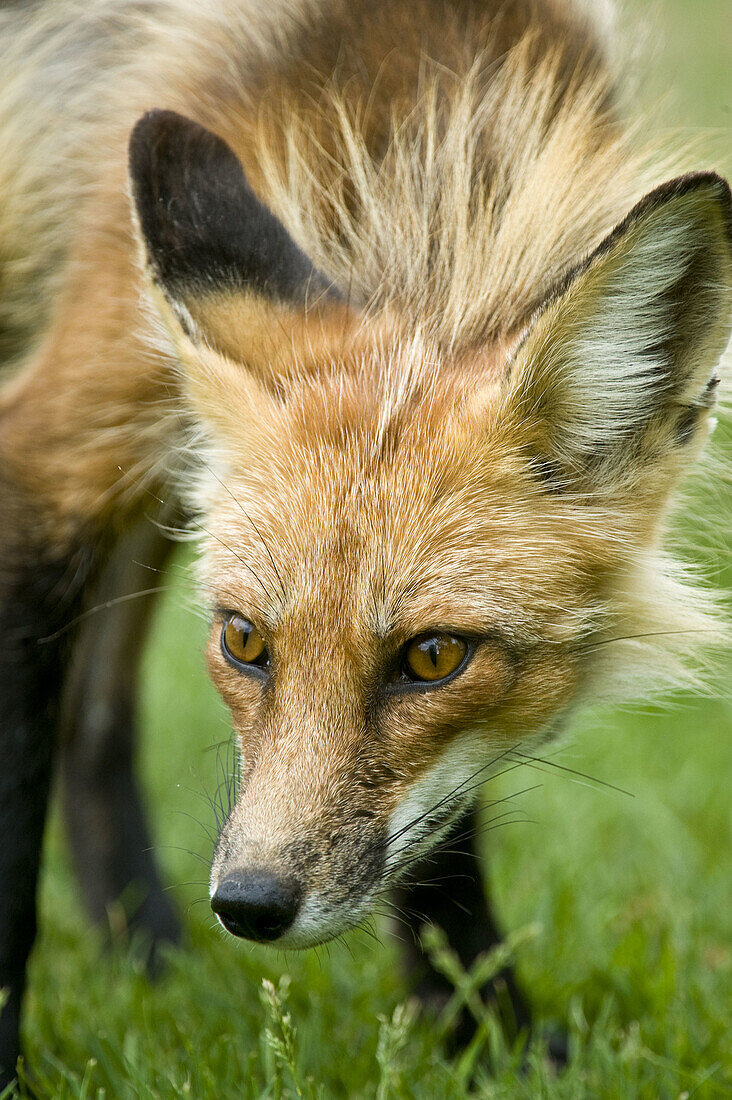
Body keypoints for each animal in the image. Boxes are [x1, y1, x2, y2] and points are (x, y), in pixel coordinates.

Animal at [1, 0, 730, 1086]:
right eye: (245, 641)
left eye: (432, 657)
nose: (249, 904)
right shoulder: (48, 443)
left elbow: (442, 837)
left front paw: (486, 1039)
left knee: (95, 713)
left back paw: (151, 959)